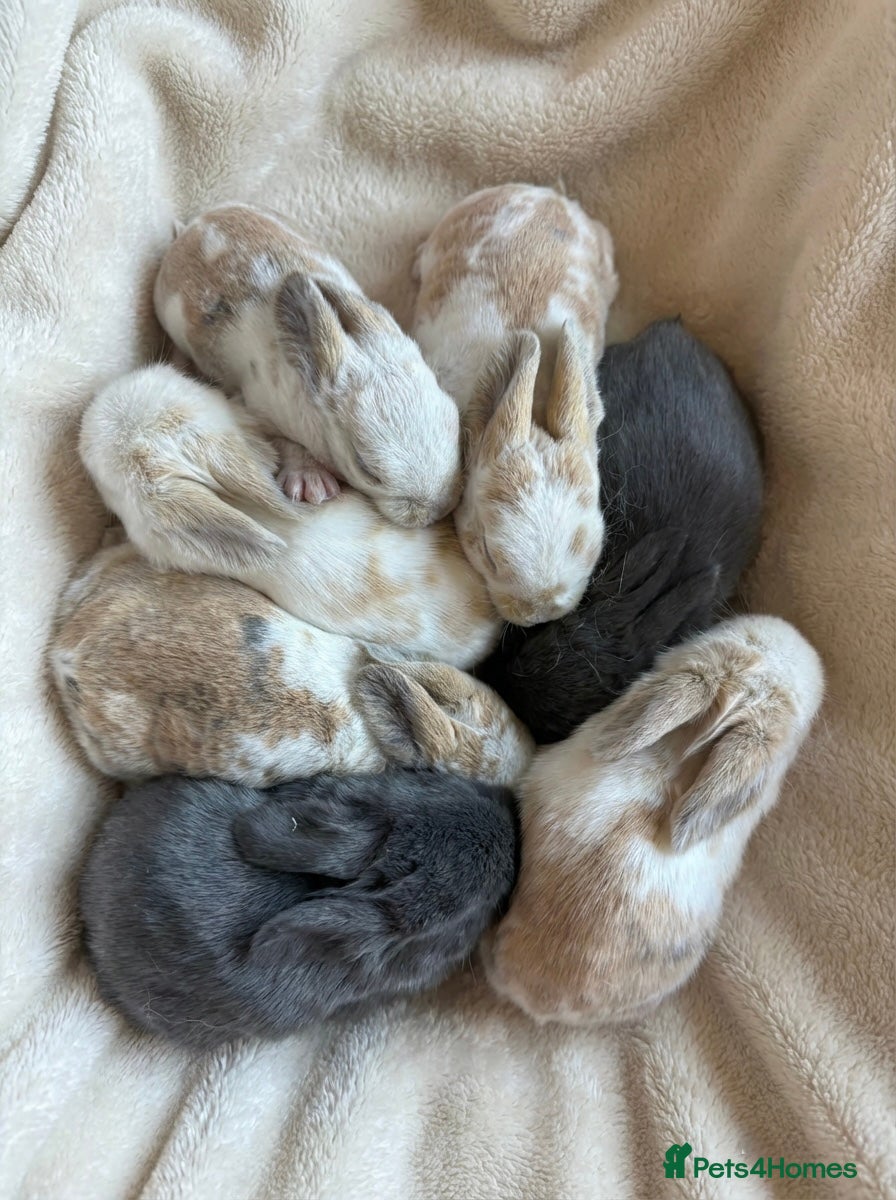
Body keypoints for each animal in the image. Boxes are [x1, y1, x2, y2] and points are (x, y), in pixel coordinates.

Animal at [154, 203, 462, 527]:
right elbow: (288, 444)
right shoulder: (256, 409)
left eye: (454, 416)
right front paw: (313, 485)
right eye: (365, 467)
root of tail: (192, 228)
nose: (434, 510)